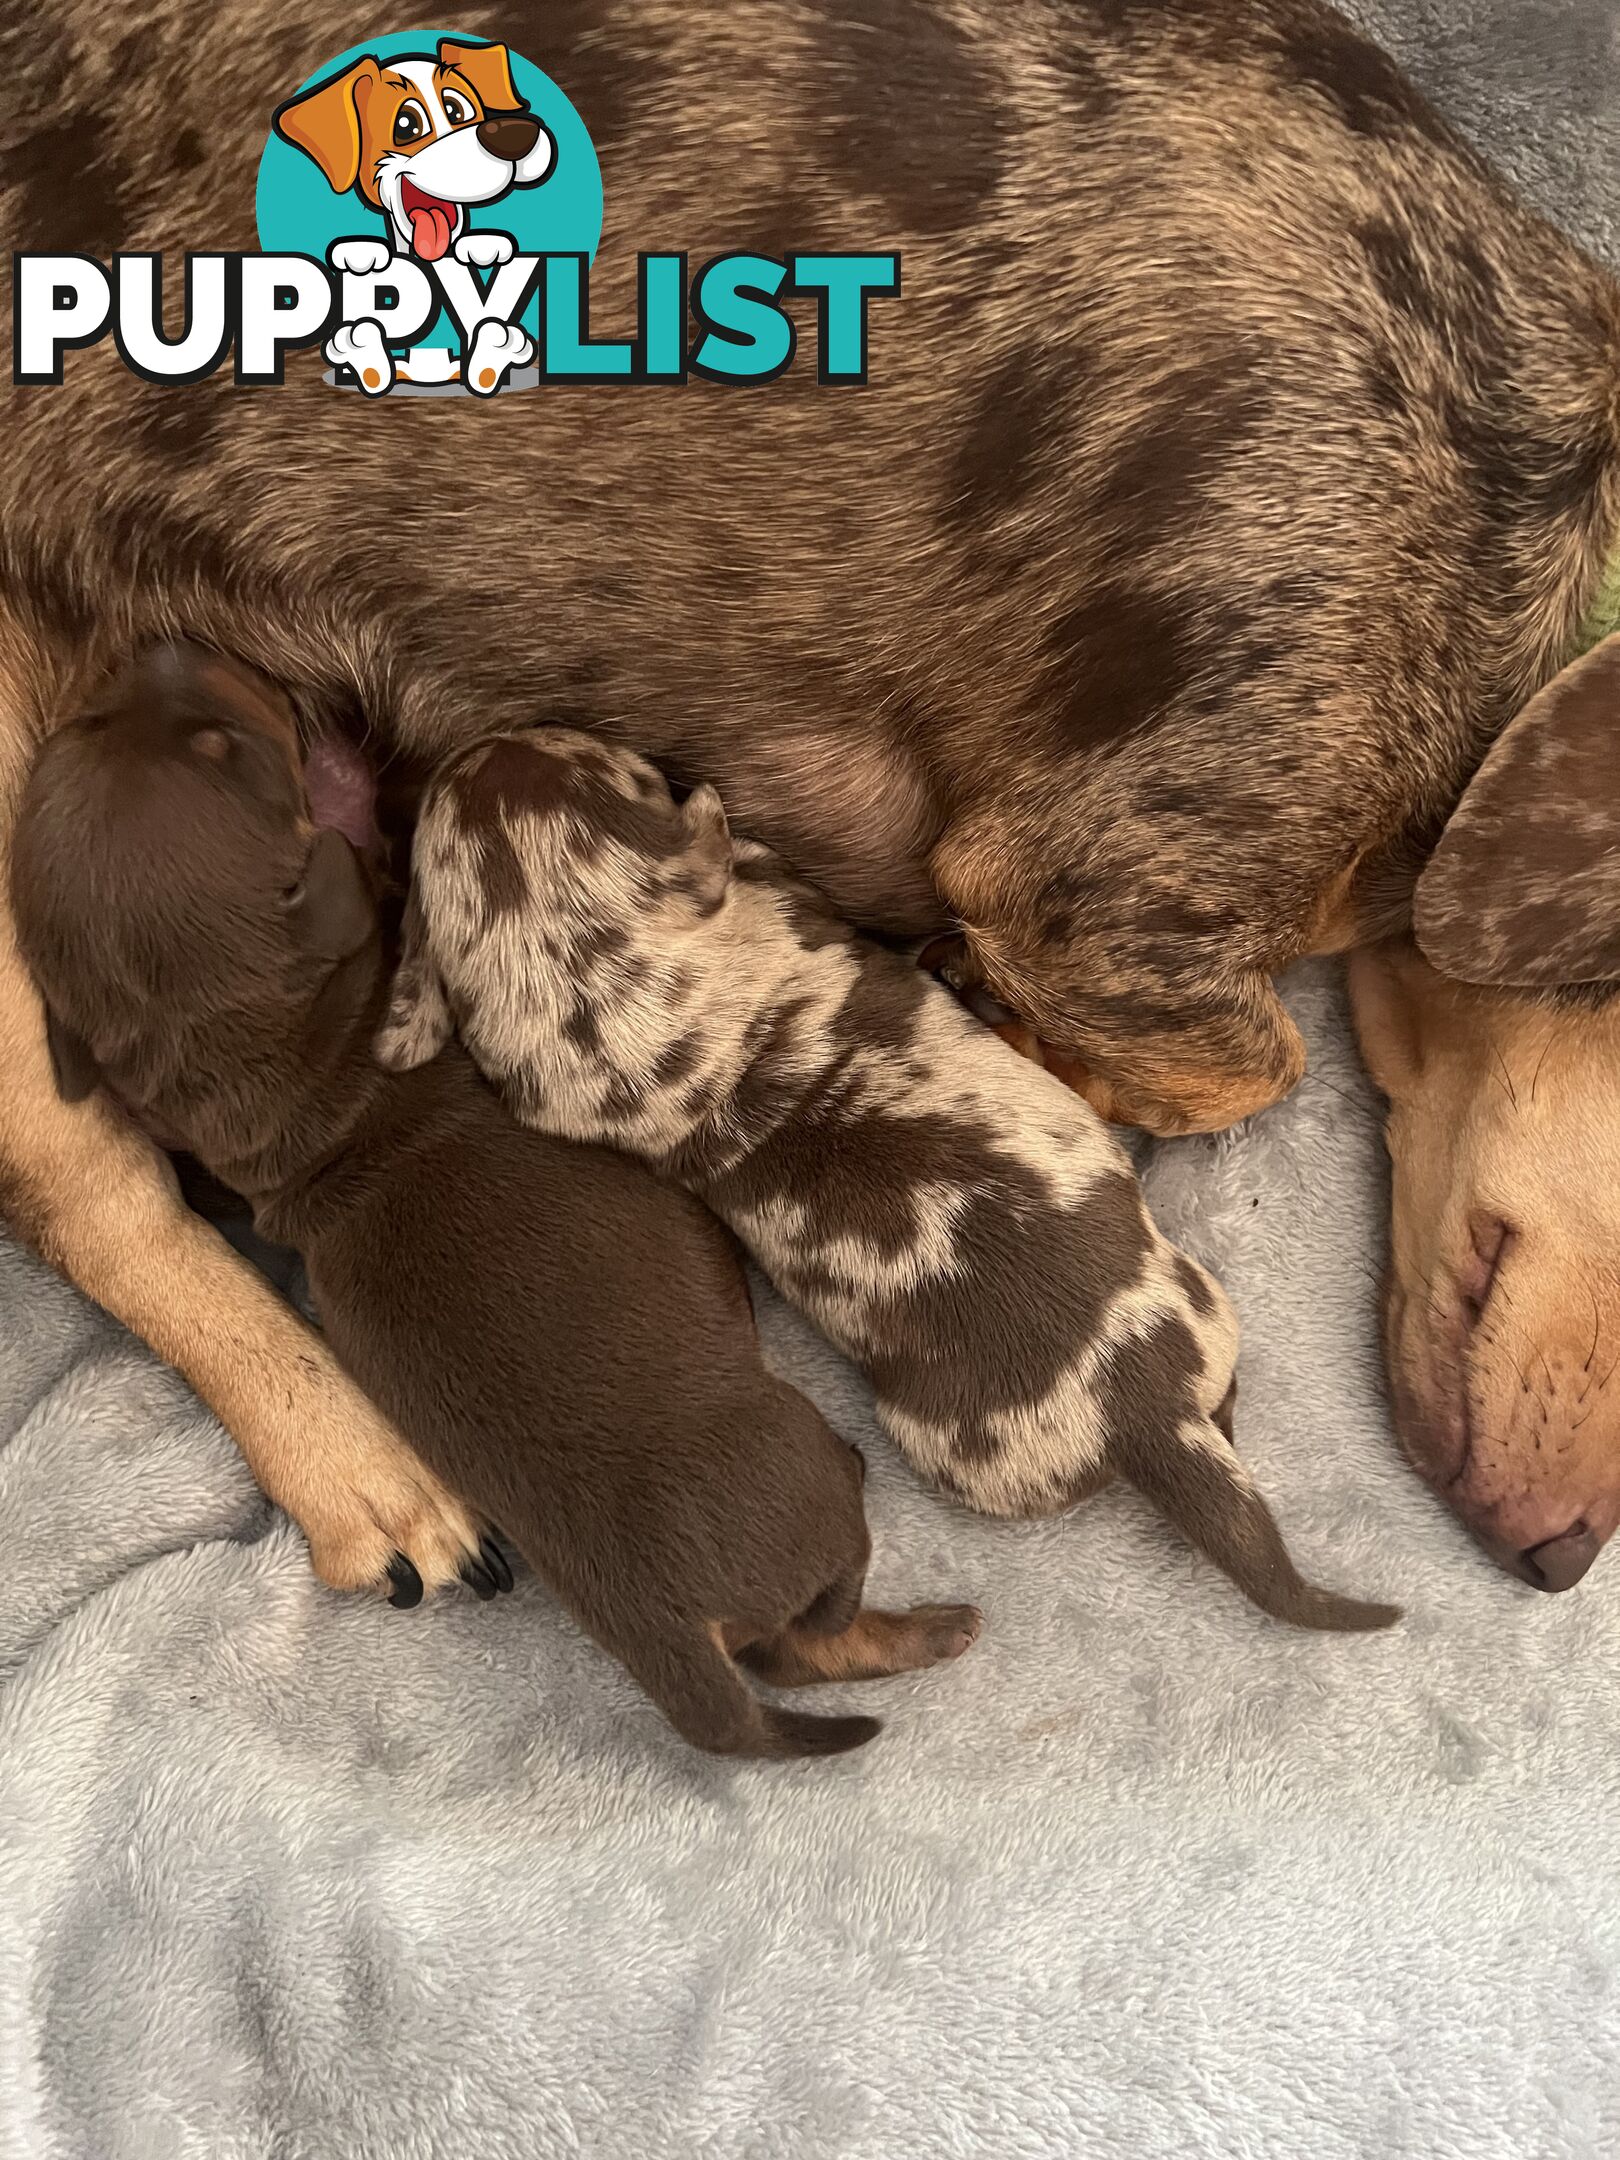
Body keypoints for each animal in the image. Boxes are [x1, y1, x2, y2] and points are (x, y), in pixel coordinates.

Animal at [12, 652, 984, 1753]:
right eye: (229, 748)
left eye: (105, 724)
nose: (162, 650)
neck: (292, 1072)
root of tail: (665, 1632)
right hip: (801, 1469)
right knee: (826, 1627)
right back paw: (931, 1616)